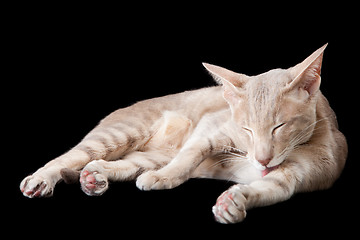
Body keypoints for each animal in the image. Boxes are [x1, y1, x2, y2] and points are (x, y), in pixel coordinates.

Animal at [19, 43, 346, 223]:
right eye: (247, 130)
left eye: (279, 127)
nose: (263, 160)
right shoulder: (212, 128)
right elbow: (190, 154)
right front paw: (166, 177)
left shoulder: (298, 175)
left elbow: (272, 189)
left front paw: (233, 203)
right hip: (118, 134)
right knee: (69, 157)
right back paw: (42, 179)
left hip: (146, 156)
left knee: (119, 163)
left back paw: (94, 177)